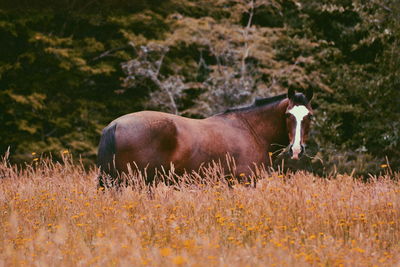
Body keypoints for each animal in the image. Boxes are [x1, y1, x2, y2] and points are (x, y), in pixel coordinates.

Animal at [97, 88, 312, 188]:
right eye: (288, 115)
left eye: (309, 115)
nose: (296, 150)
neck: (250, 129)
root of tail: (115, 125)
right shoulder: (246, 181)